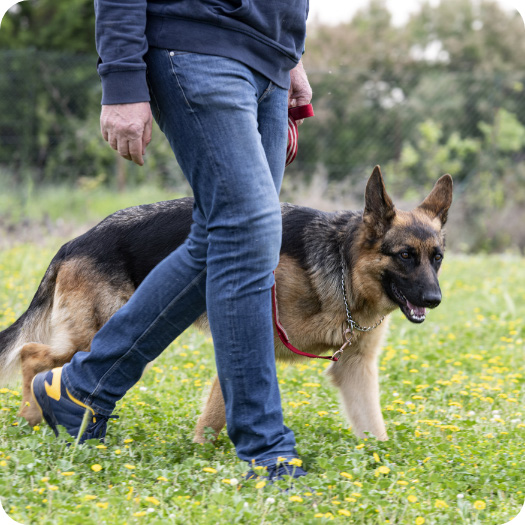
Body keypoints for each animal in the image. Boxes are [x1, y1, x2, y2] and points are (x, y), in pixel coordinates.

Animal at [0, 166, 450, 440]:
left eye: (437, 258)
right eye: (405, 255)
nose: (435, 299)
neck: (343, 267)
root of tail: (75, 241)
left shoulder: (356, 369)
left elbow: (374, 427)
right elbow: (216, 413)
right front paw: (204, 456)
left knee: (38, 358)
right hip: (94, 334)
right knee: (31, 353)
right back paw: (31, 416)